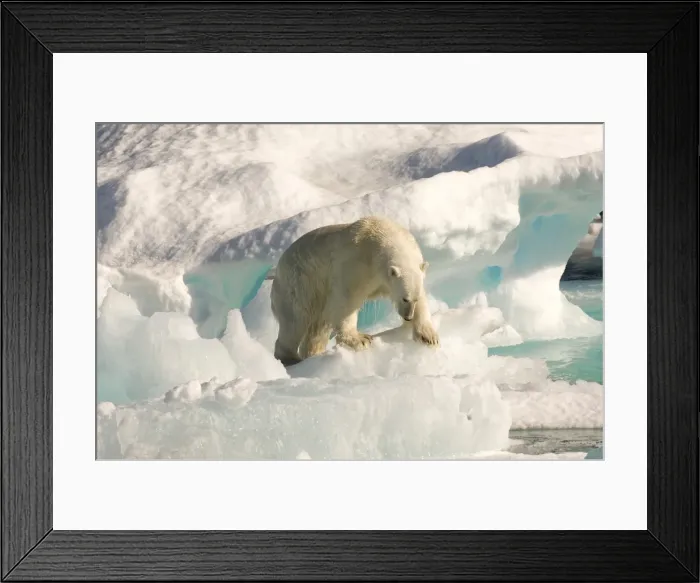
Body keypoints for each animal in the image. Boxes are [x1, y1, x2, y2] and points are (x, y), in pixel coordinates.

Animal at [270, 215, 440, 366]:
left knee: (318, 327)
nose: (408, 317)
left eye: (413, 299)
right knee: (295, 320)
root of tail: (277, 270)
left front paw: (429, 336)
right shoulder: (357, 263)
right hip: (300, 282)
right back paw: (290, 358)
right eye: (405, 298)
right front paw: (360, 339)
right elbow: (346, 300)